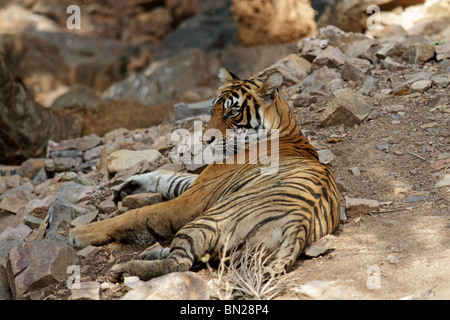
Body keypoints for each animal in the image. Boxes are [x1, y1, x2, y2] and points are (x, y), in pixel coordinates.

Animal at [68, 67, 340, 280]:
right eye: (213, 110)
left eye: (233, 112)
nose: (206, 139)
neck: (286, 129)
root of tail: (300, 226)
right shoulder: (203, 183)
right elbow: (172, 178)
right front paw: (128, 185)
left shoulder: (193, 201)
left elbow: (135, 215)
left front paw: (79, 233)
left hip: (205, 222)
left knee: (179, 263)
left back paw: (126, 269)